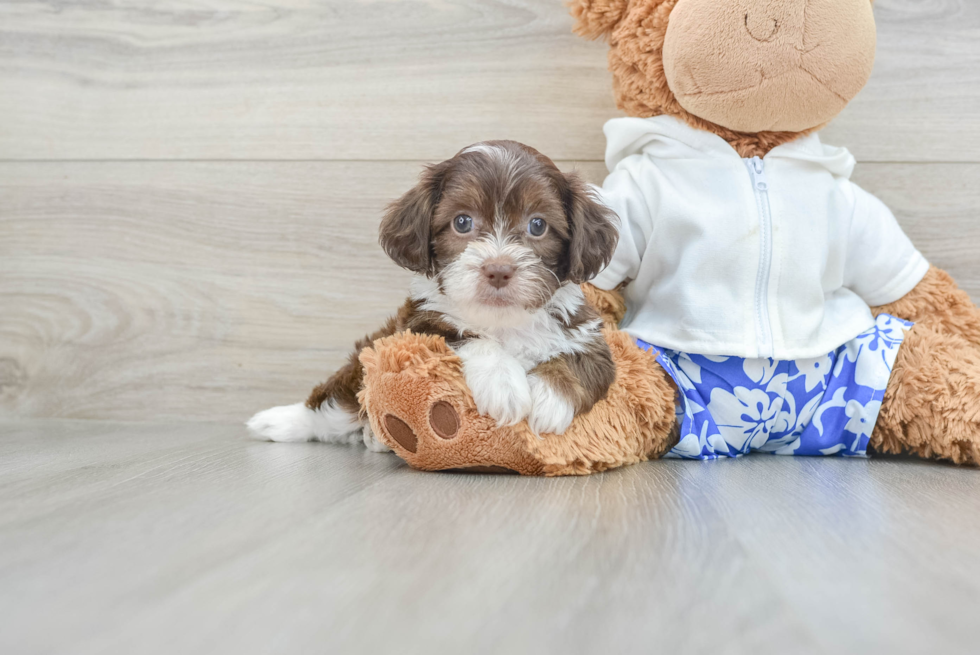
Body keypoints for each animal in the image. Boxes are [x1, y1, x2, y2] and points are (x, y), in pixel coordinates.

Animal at [253, 140, 620, 452]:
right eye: (462, 222)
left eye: (538, 225)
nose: (498, 270)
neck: (503, 320)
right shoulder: (416, 327)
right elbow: (469, 337)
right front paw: (504, 385)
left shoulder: (587, 335)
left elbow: (580, 363)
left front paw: (548, 401)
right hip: (361, 367)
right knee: (334, 405)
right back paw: (281, 421)